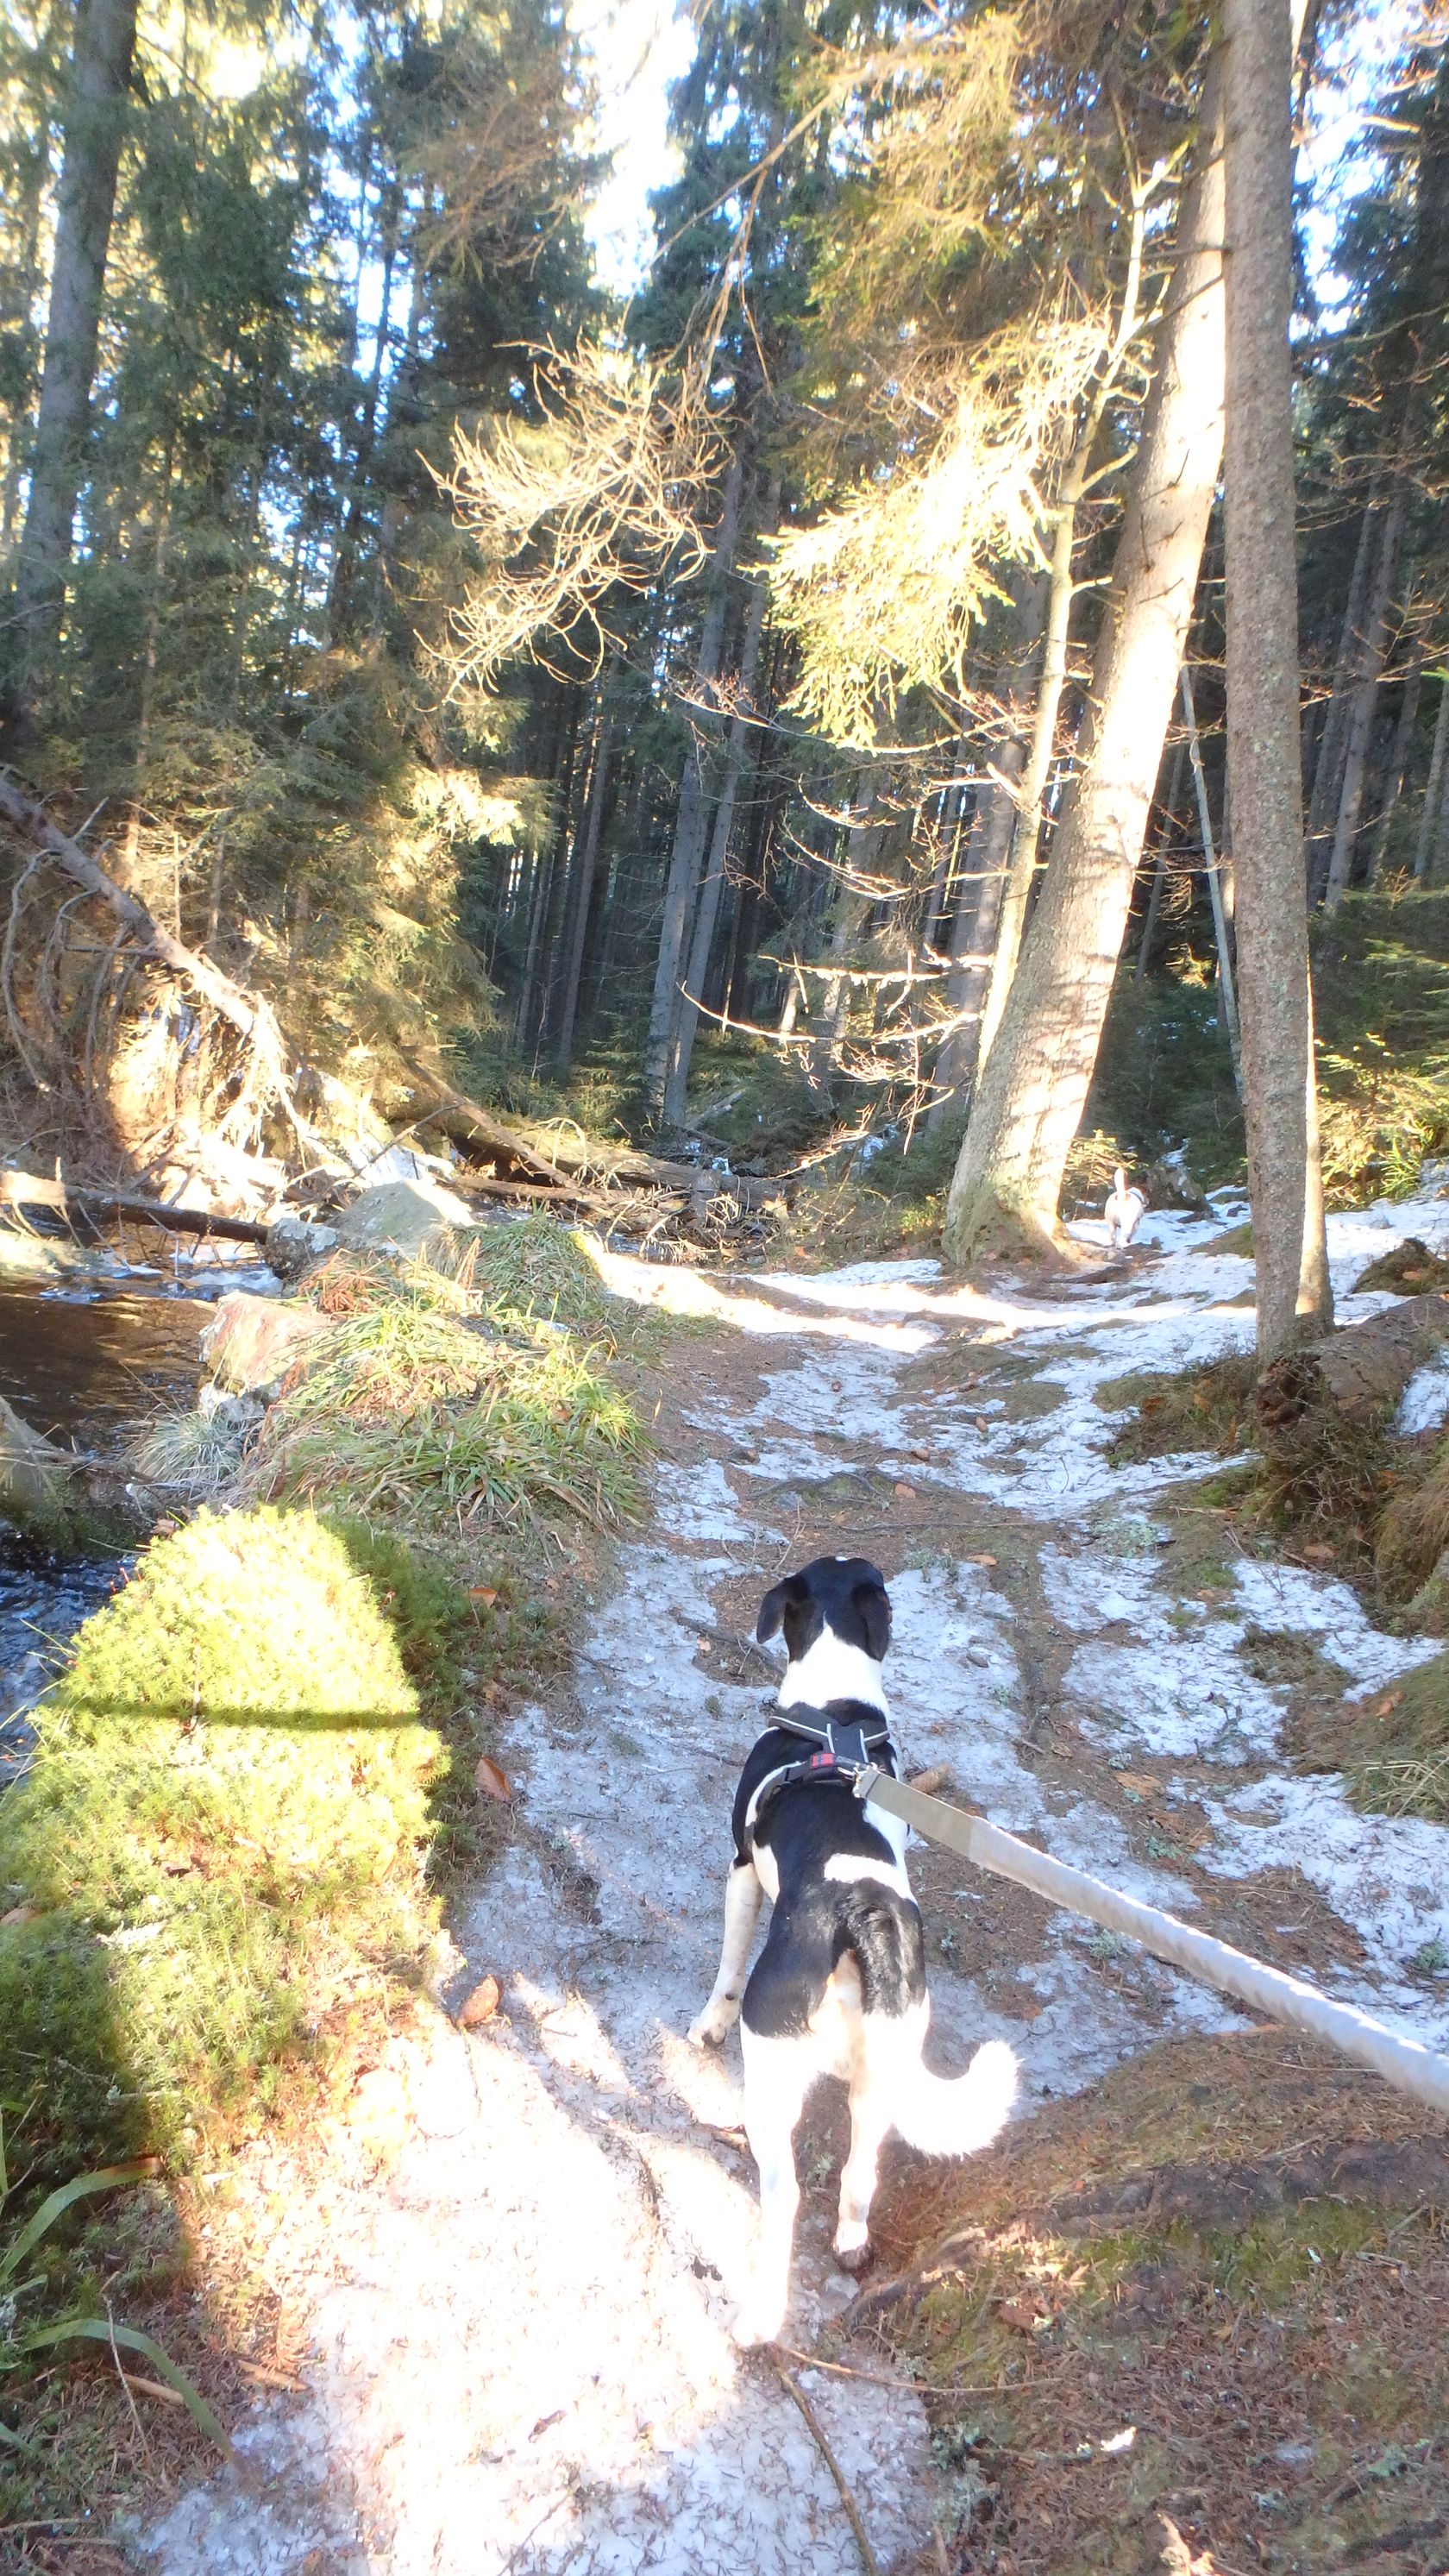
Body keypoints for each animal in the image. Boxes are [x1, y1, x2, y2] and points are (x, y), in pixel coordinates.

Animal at [689, 1554, 1018, 2347]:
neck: (835, 1713)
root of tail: (860, 1917)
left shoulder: (740, 1871)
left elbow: (726, 1969)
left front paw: (707, 2023)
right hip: (882, 2075)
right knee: (860, 2173)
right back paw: (850, 2245)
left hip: (773, 2069)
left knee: (784, 2196)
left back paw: (761, 2316)